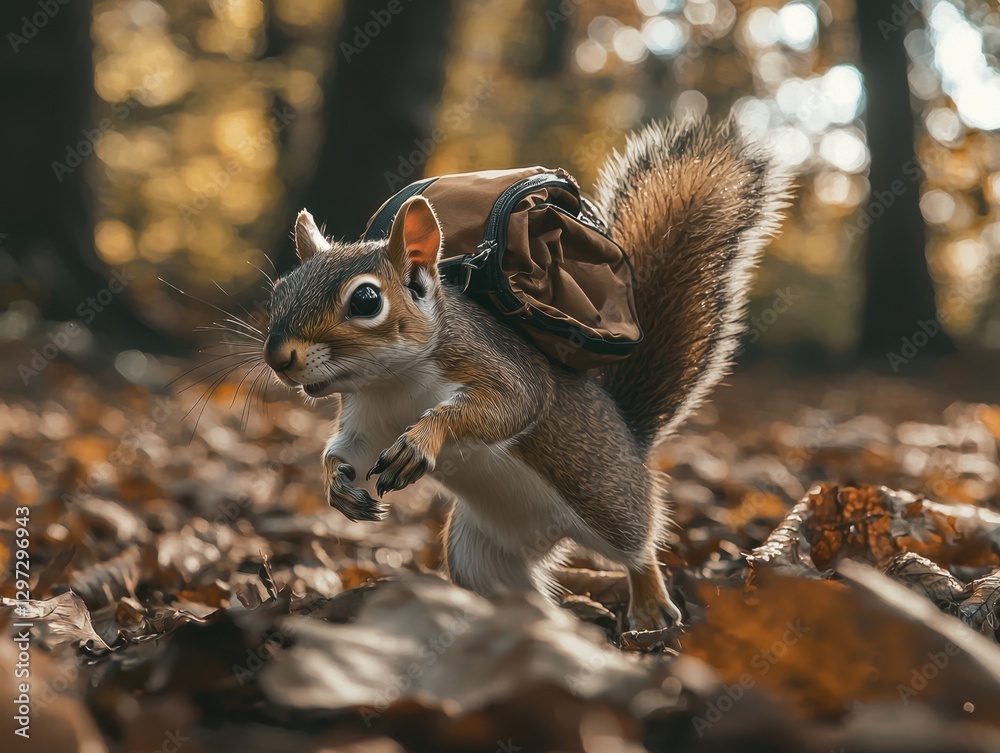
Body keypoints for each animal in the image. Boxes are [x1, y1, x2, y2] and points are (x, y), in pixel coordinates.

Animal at [262, 117, 789, 631]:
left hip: (606, 500)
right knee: (521, 595)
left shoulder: (495, 365)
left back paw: (649, 608)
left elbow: (510, 406)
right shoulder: (368, 419)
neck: (392, 383)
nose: (278, 357)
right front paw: (338, 486)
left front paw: (421, 440)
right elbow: (346, 450)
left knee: (638, 548)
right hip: (478, 553)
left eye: (367, 300)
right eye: (280, 290)